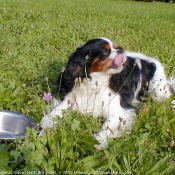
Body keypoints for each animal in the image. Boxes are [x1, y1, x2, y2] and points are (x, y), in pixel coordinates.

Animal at [40, 37, 174, 148]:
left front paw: (98, 141)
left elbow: (108, 126)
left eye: (117, 47)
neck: (96, 83)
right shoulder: (72, 98)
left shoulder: (119, 113)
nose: (121, 50)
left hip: (159, 91)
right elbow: (58, 110)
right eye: (105, 52)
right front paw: (47, 121)